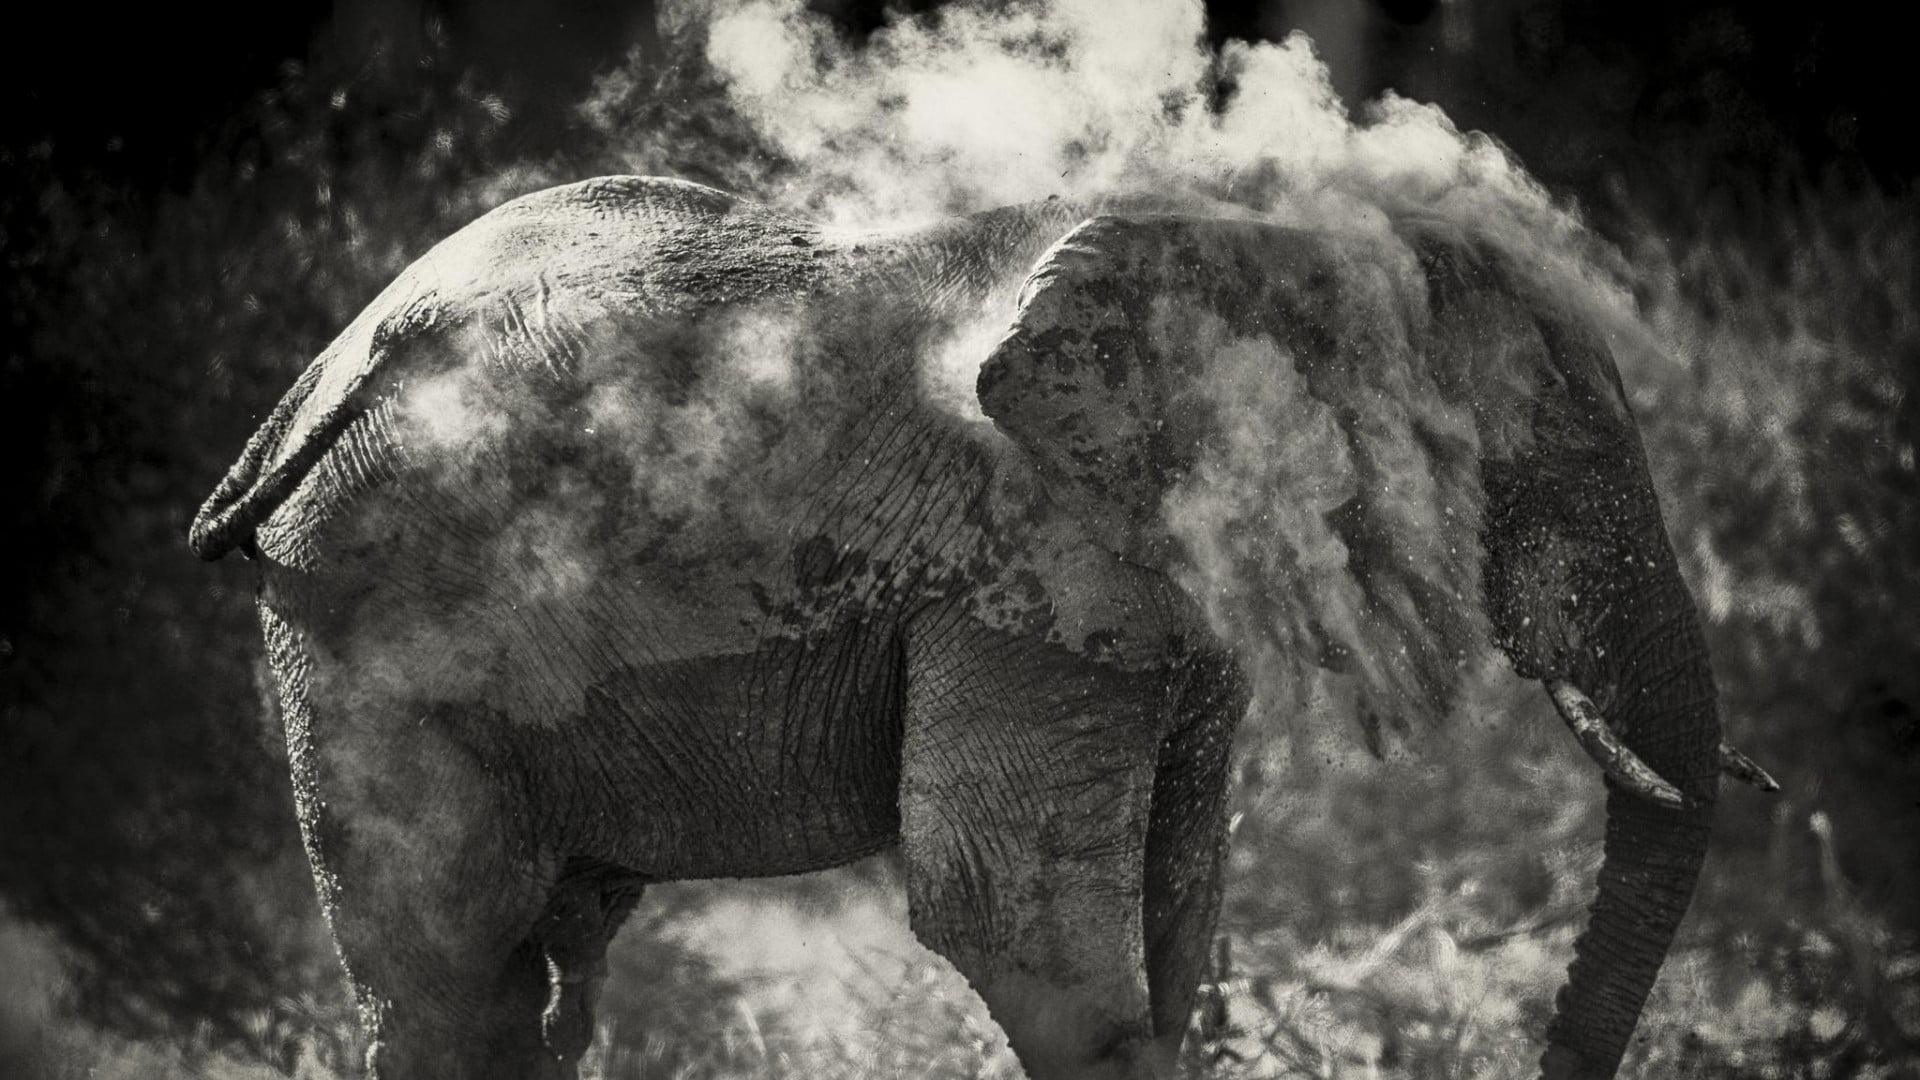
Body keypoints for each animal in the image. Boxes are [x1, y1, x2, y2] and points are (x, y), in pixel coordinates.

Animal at [191, 176, 1776, 1079]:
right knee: (454, 982)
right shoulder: (1027, 559)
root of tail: (319, 375)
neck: (1259, 246)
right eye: (1536, 466)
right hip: (365, 621)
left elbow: (1177, 896)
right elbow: (1005, 911)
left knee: (546, 979)